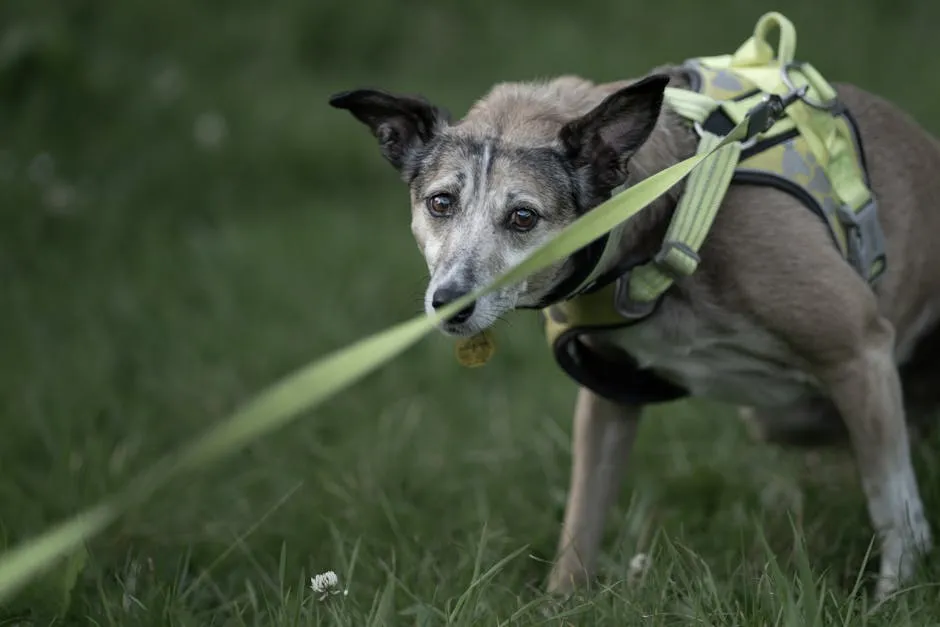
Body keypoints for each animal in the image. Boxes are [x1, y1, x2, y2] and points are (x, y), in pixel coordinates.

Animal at [326, 52, 940, 600]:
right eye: (441, 203)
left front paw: (892, 600)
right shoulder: (607, 396)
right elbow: (582, 517)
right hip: (785, 416)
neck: (677, 207)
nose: (451, 304)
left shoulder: (859, 353)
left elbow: (893, 505)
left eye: (523, 217)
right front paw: (562, 603)